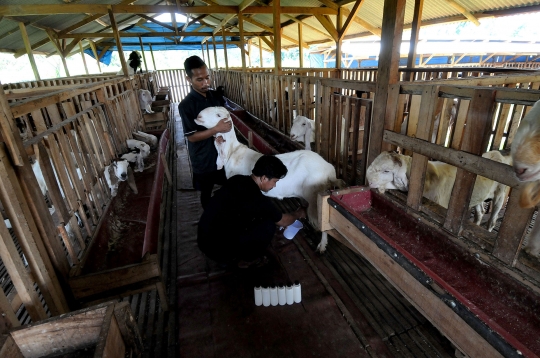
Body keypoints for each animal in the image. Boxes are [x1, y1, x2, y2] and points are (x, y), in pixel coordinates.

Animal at [194, 106, 342, 252]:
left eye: (218, 115)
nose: (198, 116)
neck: (233, 152)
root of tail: (329, 169)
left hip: (315, 197)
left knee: (323, 223)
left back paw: (322, 245)